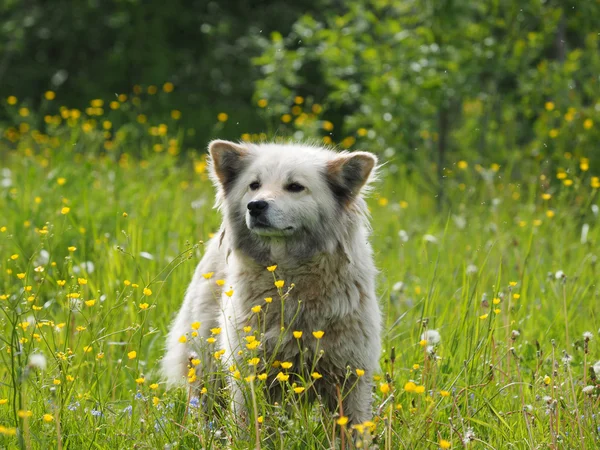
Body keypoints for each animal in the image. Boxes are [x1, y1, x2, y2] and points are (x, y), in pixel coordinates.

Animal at [162, 141, 382, 426]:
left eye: (295, 186)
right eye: (254, 185)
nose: (255, 206)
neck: (289, 276)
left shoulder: (350, 375)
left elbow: (353, 427)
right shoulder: (250, 371)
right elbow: (247, 422)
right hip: (208, 367)